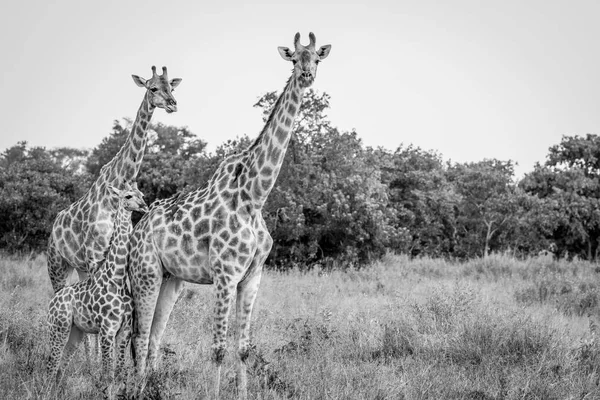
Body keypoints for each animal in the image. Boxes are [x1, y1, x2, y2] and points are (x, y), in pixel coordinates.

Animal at [47, 65, 180, 290]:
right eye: (152, 88)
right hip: (58, 265)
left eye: (171, 87)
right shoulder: (94, 255)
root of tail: (54, 227)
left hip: (79, 267)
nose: (173, 104)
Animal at [47, 184, 149, 396]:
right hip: (58, 327)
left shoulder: (124, 329)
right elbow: (108, 373)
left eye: (142, 194)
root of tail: (53, 301)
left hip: (75, 331)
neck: (116, 277)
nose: (144, 206)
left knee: (62, 364)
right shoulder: (107, 329)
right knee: (51, 362)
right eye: (128, 196)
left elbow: (120, 372)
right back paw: (44, 392)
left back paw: (58, 393)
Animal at [128, 32, 330, 398]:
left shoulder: (251, 277)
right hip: (145, 273)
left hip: (171, 279)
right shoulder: (225, 275)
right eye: (294, 59)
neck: (253, 197)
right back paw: (135, 390)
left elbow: (244, 348)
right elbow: (218, 348)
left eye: (317, 58)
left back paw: (153, 387)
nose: (307, 75)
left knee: (153, 337)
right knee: (139, 335)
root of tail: (139, 227)